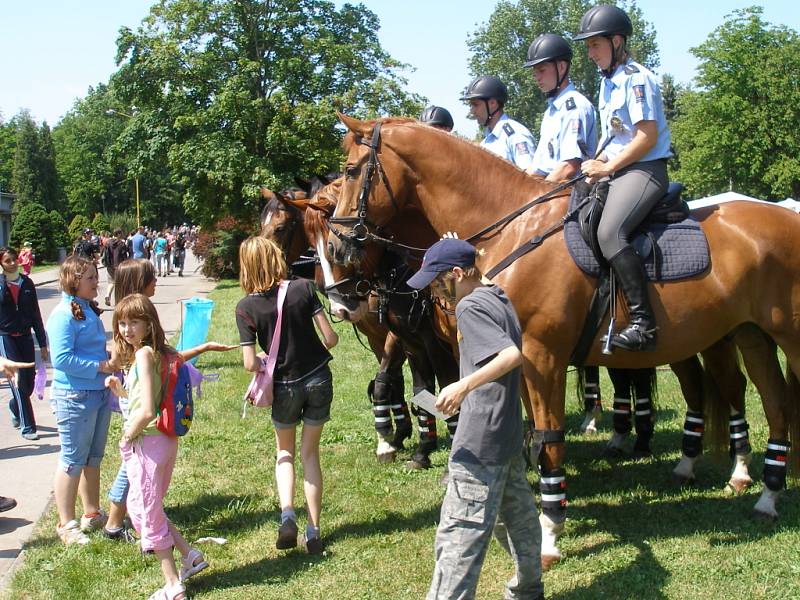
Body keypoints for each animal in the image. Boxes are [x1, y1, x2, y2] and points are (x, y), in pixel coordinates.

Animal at [326, 116, 800, 568]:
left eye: (350, 171)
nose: (335, 246)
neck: (513, 229)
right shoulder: (507, 356)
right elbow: (522, 431)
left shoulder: (542, 357)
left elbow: (548, 439)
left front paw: (550, 534)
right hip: (750, 336)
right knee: (774, 403)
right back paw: (764, 494)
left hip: (778, 339)